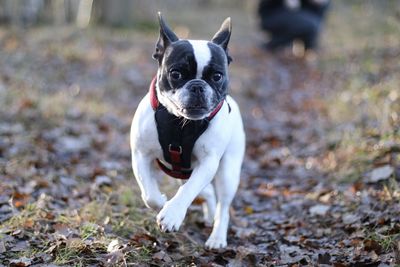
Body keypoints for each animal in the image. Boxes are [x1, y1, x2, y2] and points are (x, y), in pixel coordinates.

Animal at [130, 13, 245, 250]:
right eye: (176, 73)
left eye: (217, 76)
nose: (198, 86)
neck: (180, 122)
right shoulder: (140, 156)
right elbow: (149, 194)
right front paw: (162, 203)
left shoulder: (208, 163)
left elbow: (189, 190)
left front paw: (173, 213)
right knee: (207, 192)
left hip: (228, 172)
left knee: (223, 205)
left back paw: (217, 237)